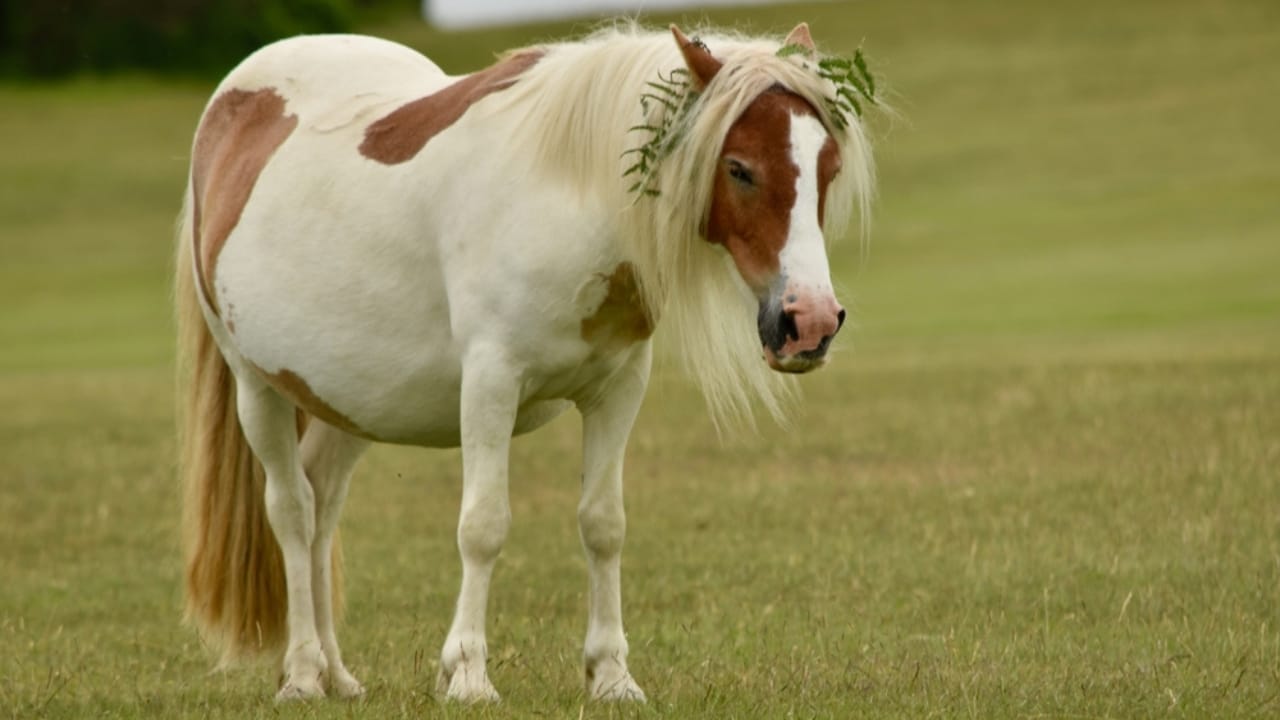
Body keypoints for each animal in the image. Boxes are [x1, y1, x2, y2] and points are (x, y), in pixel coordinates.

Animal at [176, 20, 876, 703]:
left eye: (830, 166)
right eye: (739, 168)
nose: (811, 323)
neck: (566, 196)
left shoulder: (619, 388)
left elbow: (604, 524)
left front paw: (612, 675)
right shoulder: (491, 383)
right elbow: (483, 526)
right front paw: (467, 675)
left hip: (345, 403)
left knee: (322, 509)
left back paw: (336, 675)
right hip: (257, 389)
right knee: (293, 513)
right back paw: (300, 674)